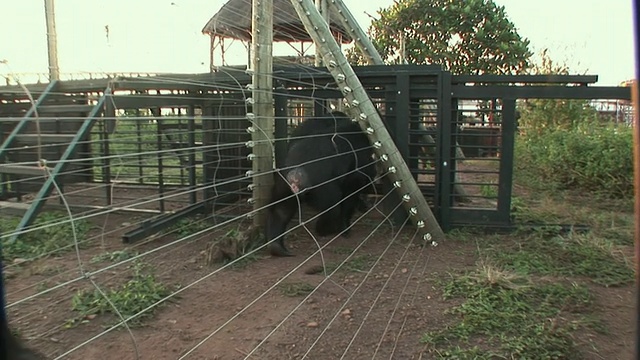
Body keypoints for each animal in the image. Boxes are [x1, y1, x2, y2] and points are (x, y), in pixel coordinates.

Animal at [264, 109, 378, 256]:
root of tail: (296, 174)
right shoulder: (356, 172)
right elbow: (350, 195)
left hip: (283, 183)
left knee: (281, 209)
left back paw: (277, 247)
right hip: (323, 188)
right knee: (332, 209)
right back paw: (327, 229)